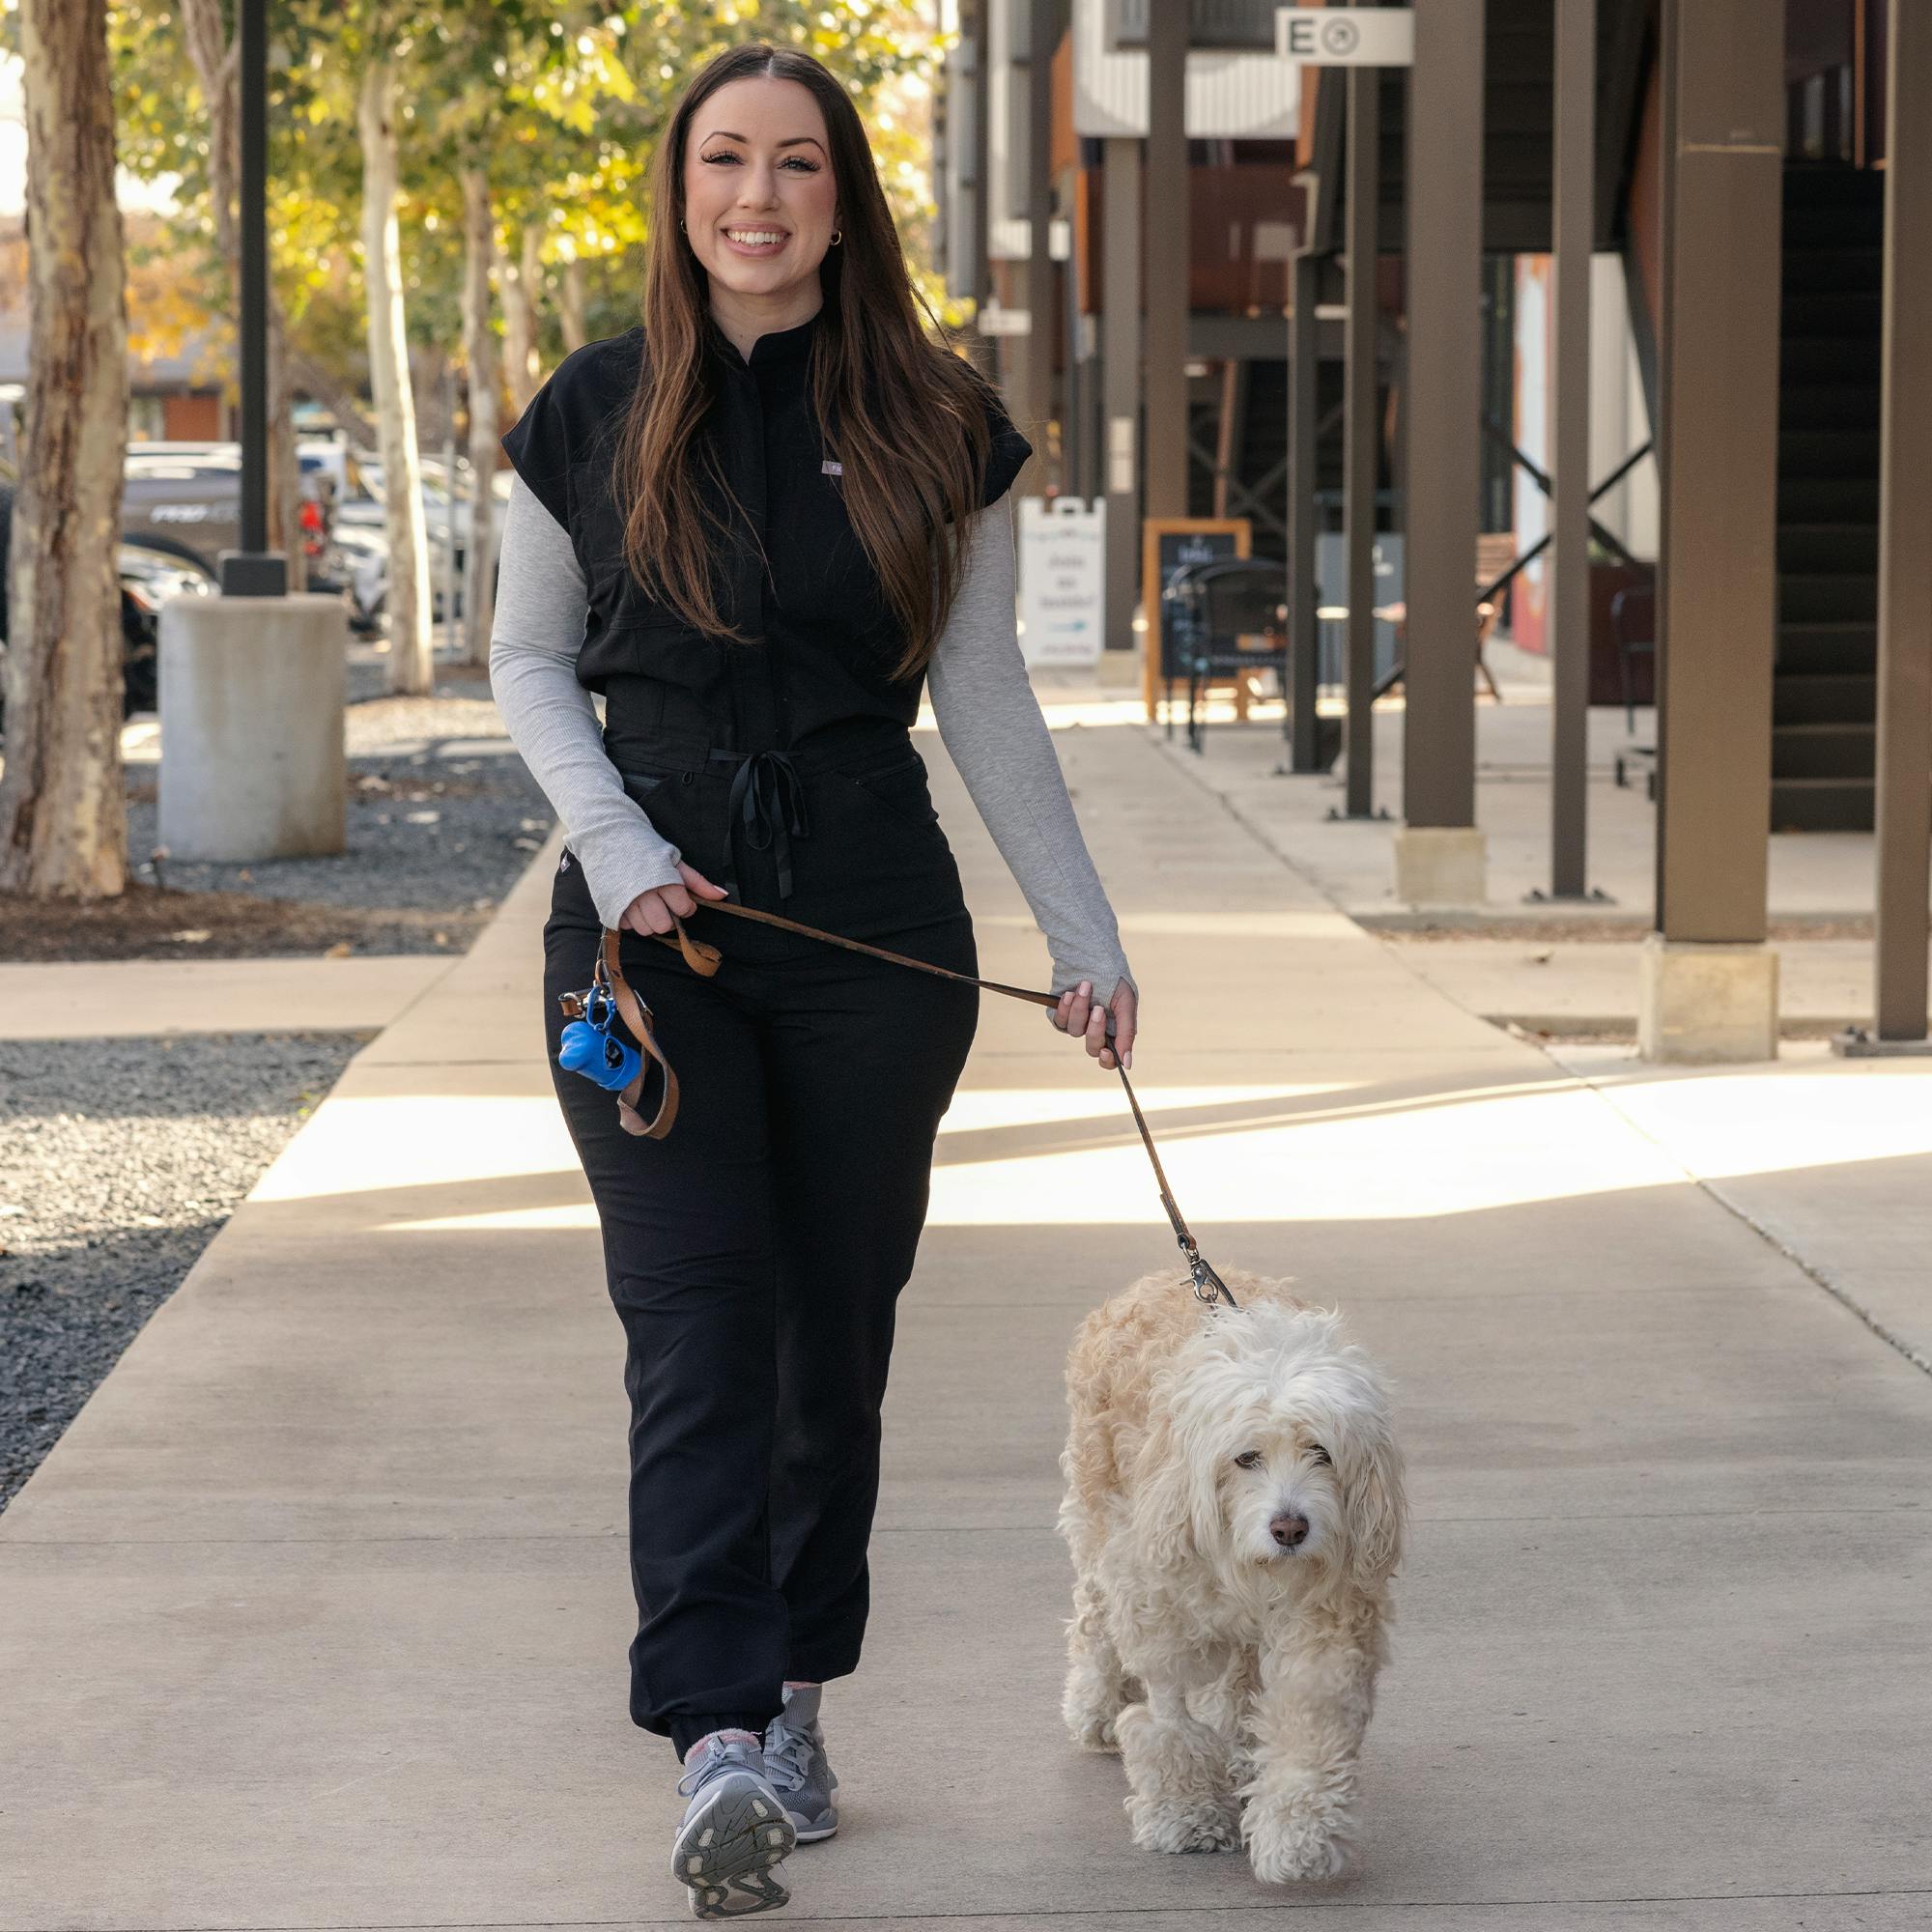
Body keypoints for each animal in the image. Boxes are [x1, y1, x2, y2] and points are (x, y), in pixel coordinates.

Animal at [1059, 1260, 1406, 1878]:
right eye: (1247, 1458)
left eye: (1321, 1452)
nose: (1289, 1529)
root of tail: (1165, 1272)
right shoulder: (1163, 1608)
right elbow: (1171, 1721)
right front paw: (1185, 1813)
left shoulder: (1326, 1617)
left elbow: (1308, 1723)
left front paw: (1297, 1833)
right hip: (1096, 1517)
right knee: (1093, 1616)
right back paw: (1096, 1706)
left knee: (1241, 1680)